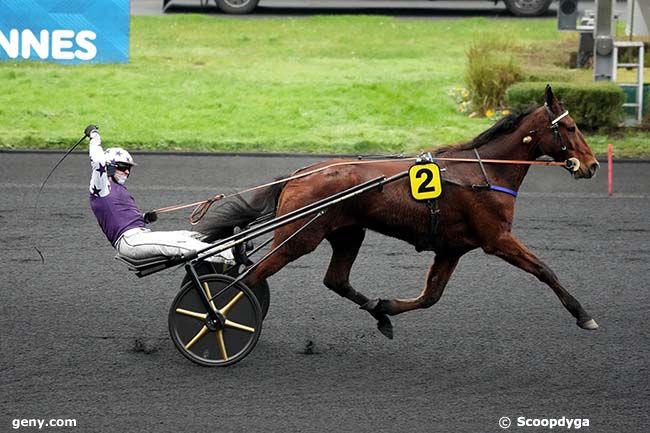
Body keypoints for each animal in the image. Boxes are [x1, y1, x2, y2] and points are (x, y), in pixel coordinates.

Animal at [196, 86, 596, 338]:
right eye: (571, 127)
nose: (592, 165)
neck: (484, 173)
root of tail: (300, 173)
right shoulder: (496, 238)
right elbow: (544, 270)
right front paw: (583, 315)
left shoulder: (452, 248)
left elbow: (431, 296)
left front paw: (385, 306)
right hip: (300, 236)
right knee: (250, 278)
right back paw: (214, 319)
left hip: (347, 232)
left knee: (334, 280)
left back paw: (376, 313)